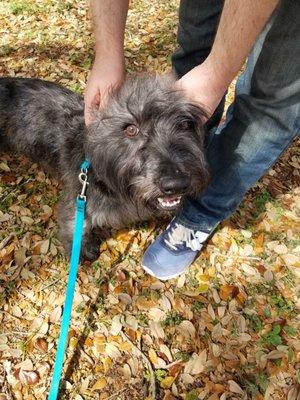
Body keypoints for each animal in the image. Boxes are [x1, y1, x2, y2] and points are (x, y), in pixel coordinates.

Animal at [0, 74, 210, 260]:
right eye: (131, 129)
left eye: (185, 125)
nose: (176, 183)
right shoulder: (77, 201)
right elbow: (76, 226)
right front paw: (81, 250)